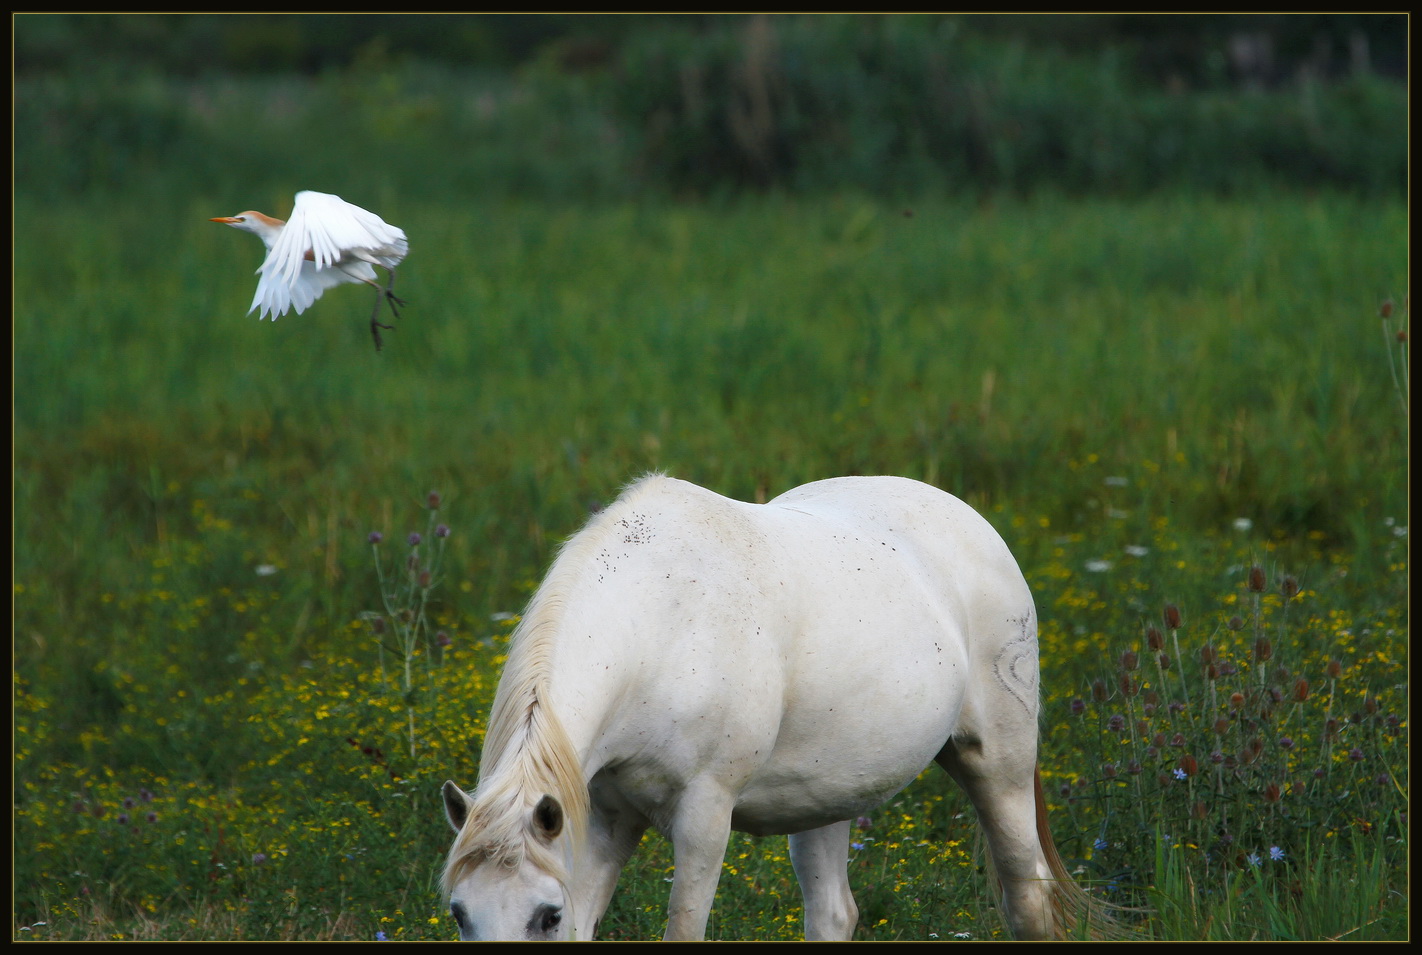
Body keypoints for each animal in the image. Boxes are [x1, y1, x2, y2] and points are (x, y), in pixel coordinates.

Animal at [437, 474, 1114, 937]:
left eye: (543, 915)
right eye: (460, 912)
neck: (659, 630)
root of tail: (970, 520)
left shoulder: (704, 818)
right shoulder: (604, 820)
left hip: (997, 765)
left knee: (1028, 899)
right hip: (827, 796)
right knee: (834, 914)